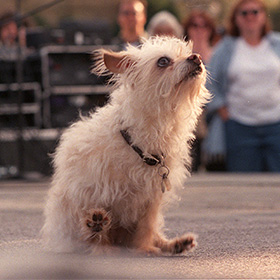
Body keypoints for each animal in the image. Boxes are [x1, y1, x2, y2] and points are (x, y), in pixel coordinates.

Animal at [41, 36, 210, 255]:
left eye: (188, 52)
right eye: (163, 61)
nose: (196, 57)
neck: (140, 145)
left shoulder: (151, 199)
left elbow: (146, 227)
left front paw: (145, 248)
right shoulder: (93, 193)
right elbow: (97, 236)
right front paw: (102, 242)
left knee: (153, 234)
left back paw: (175, 244)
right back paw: (96, 228)